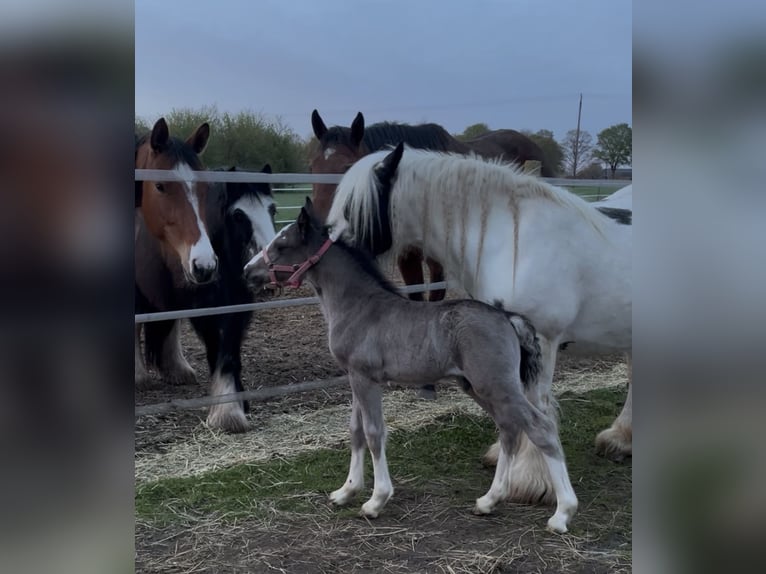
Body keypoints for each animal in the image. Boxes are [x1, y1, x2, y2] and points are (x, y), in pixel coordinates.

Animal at [136, 118, 277, 432]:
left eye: (272, 209)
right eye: (238, 215)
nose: (269, 270)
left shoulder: (237, 306)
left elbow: (230, 351)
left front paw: (237, 404)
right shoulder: (205, 307)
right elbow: (217, 348)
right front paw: (227, 413)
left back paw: (177, 369)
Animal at [242, 198, 579, 533]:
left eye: (282, 244)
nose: (248, 271)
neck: (358, 306)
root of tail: (507, 317)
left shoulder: (365, 378)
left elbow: (374, 432)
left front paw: (376, 500)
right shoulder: (355, 377)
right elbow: (356, 430)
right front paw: (346, 491)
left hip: (497, 385)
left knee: (540, 427)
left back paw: (562, 513)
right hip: (477, 386)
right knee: (509, 428)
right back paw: (489, 500)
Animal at [323, 143, 632, 505]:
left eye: (352, 207)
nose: (325, 250)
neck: (513, 239)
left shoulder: (542, 341)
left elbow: (536, 405)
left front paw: (528, 480)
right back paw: (620, 439)